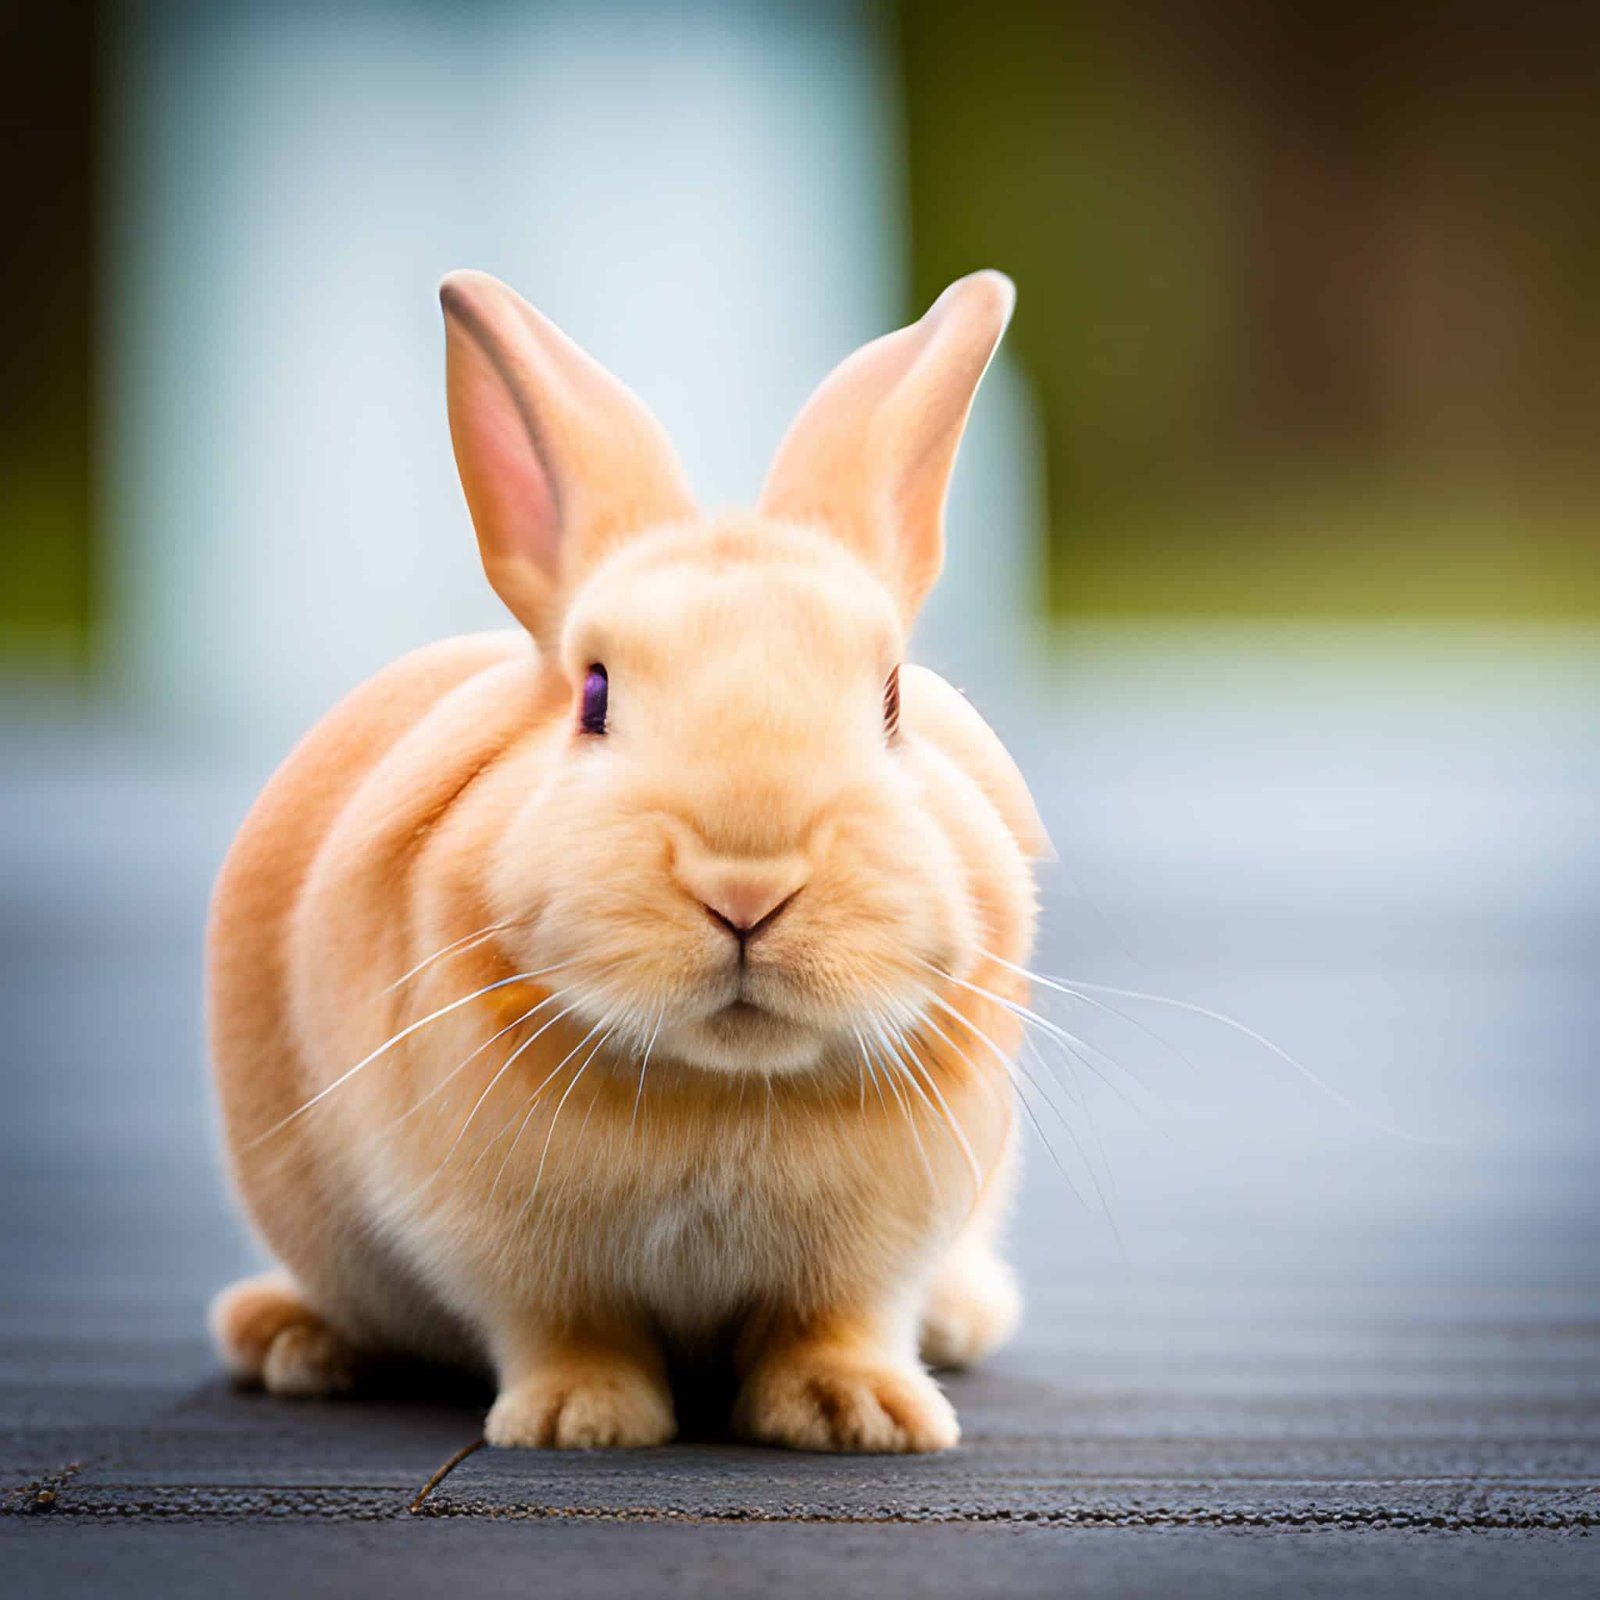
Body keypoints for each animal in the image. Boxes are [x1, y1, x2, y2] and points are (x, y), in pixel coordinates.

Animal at [206, 268, 1049, 1459]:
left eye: (891, 701)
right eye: (594, 695)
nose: (746, 884)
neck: (725, 1086)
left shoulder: (876, 1249)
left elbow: (836, 1321)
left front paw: (860, 1415)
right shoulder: (507, 1249)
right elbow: (566, 1328)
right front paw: (580, 1420)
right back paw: (287, 1341)